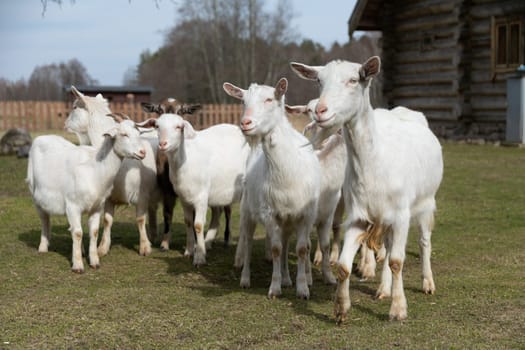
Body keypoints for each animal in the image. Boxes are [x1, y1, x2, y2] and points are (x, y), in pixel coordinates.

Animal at [28, 116, 147, 272]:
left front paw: (94, 261)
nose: (142, 152)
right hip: (35, 195)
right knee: (45, 219)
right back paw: (43, 247)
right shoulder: (73, 205)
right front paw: (78, 265)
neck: (95, 169)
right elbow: (78, 233)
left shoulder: (97, 206)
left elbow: (93, 231)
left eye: (138, 133)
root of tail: (42, 137)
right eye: (124, 134)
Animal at [65, 87, 158, 258]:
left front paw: (144, 247)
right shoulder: (108, 197)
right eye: (124, 134)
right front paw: (102, 247)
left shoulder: (142, 194)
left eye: (74, 107)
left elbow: (140, 219)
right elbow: (107, 220)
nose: (65, 124)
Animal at [137, 115, 248, 266]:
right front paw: (189, 251)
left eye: (179, 127)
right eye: (157, 126)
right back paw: (208, 242)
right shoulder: (184, 198)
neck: (185, 161)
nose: (163, 144)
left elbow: (198, 225)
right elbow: (188, 222)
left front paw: (199, 257)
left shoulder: (201, 198)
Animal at [222, 78, 320, 298]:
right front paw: (275, 288)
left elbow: (301, 249)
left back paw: (287, 278)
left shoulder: (306, 215)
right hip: (248, 211)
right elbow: (275, 249)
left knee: (285, 244)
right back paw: (246, 279)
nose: (245, 123)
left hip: (288, 220)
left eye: (269, 99)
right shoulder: (270, 213)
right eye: (243, 101)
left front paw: (302, 288)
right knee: (249, 242)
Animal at [290, 57, 442, 322]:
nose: (321, 111)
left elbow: (397, 261)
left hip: (425, 202)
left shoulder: (401, 215)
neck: (376, 164)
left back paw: (427, 283)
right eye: (319, 80)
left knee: (424, 242)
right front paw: (341, 308)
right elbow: (343, 266)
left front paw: (398, 309)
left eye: (354, 80)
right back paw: (383, 288)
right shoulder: (358, 216)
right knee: (389, 247)